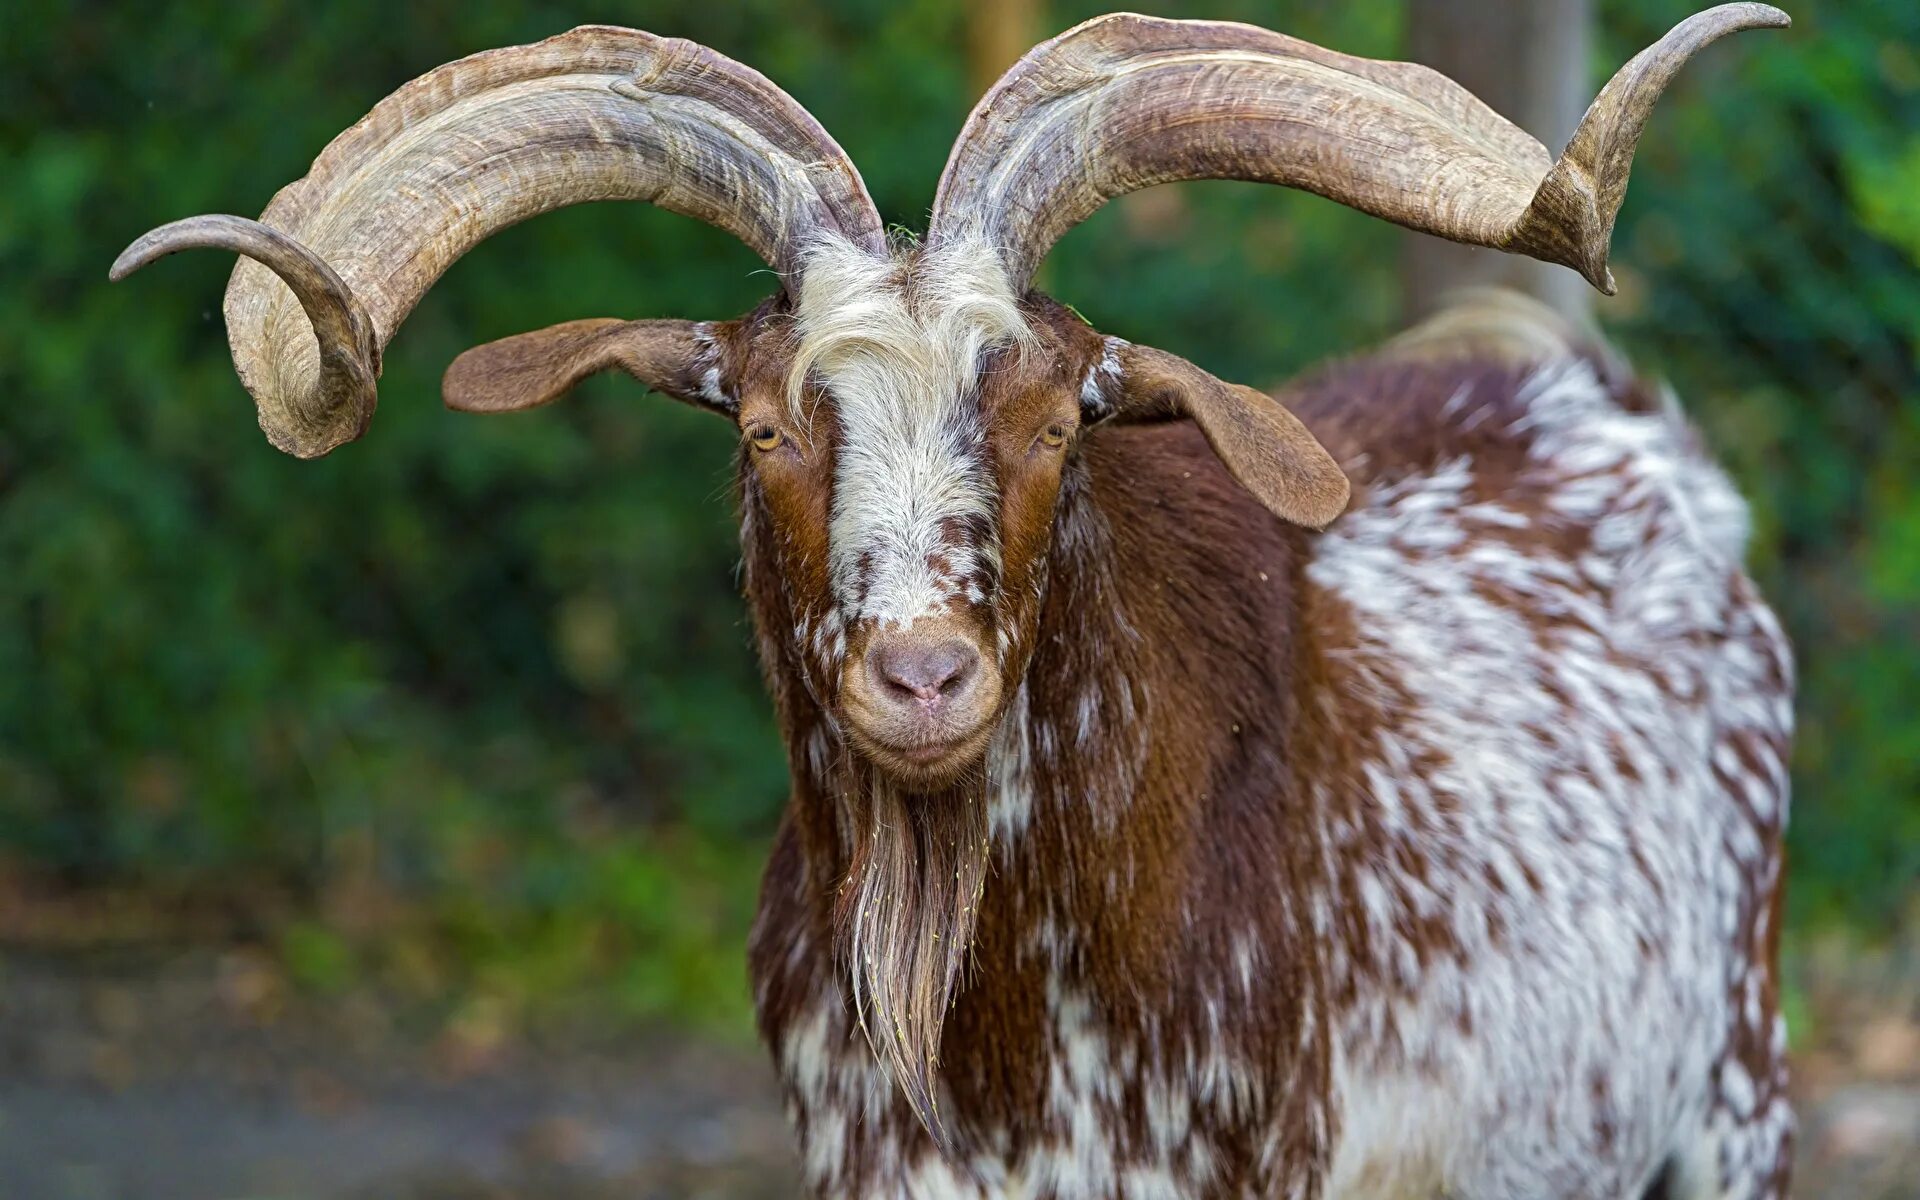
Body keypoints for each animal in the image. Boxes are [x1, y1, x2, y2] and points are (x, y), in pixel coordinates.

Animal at [112, 4, 1797, 1190]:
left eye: (1060, 418)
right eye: (767, 425)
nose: (922, 678)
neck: (998, 1040)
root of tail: (1596, 407)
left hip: (1739, 1097)